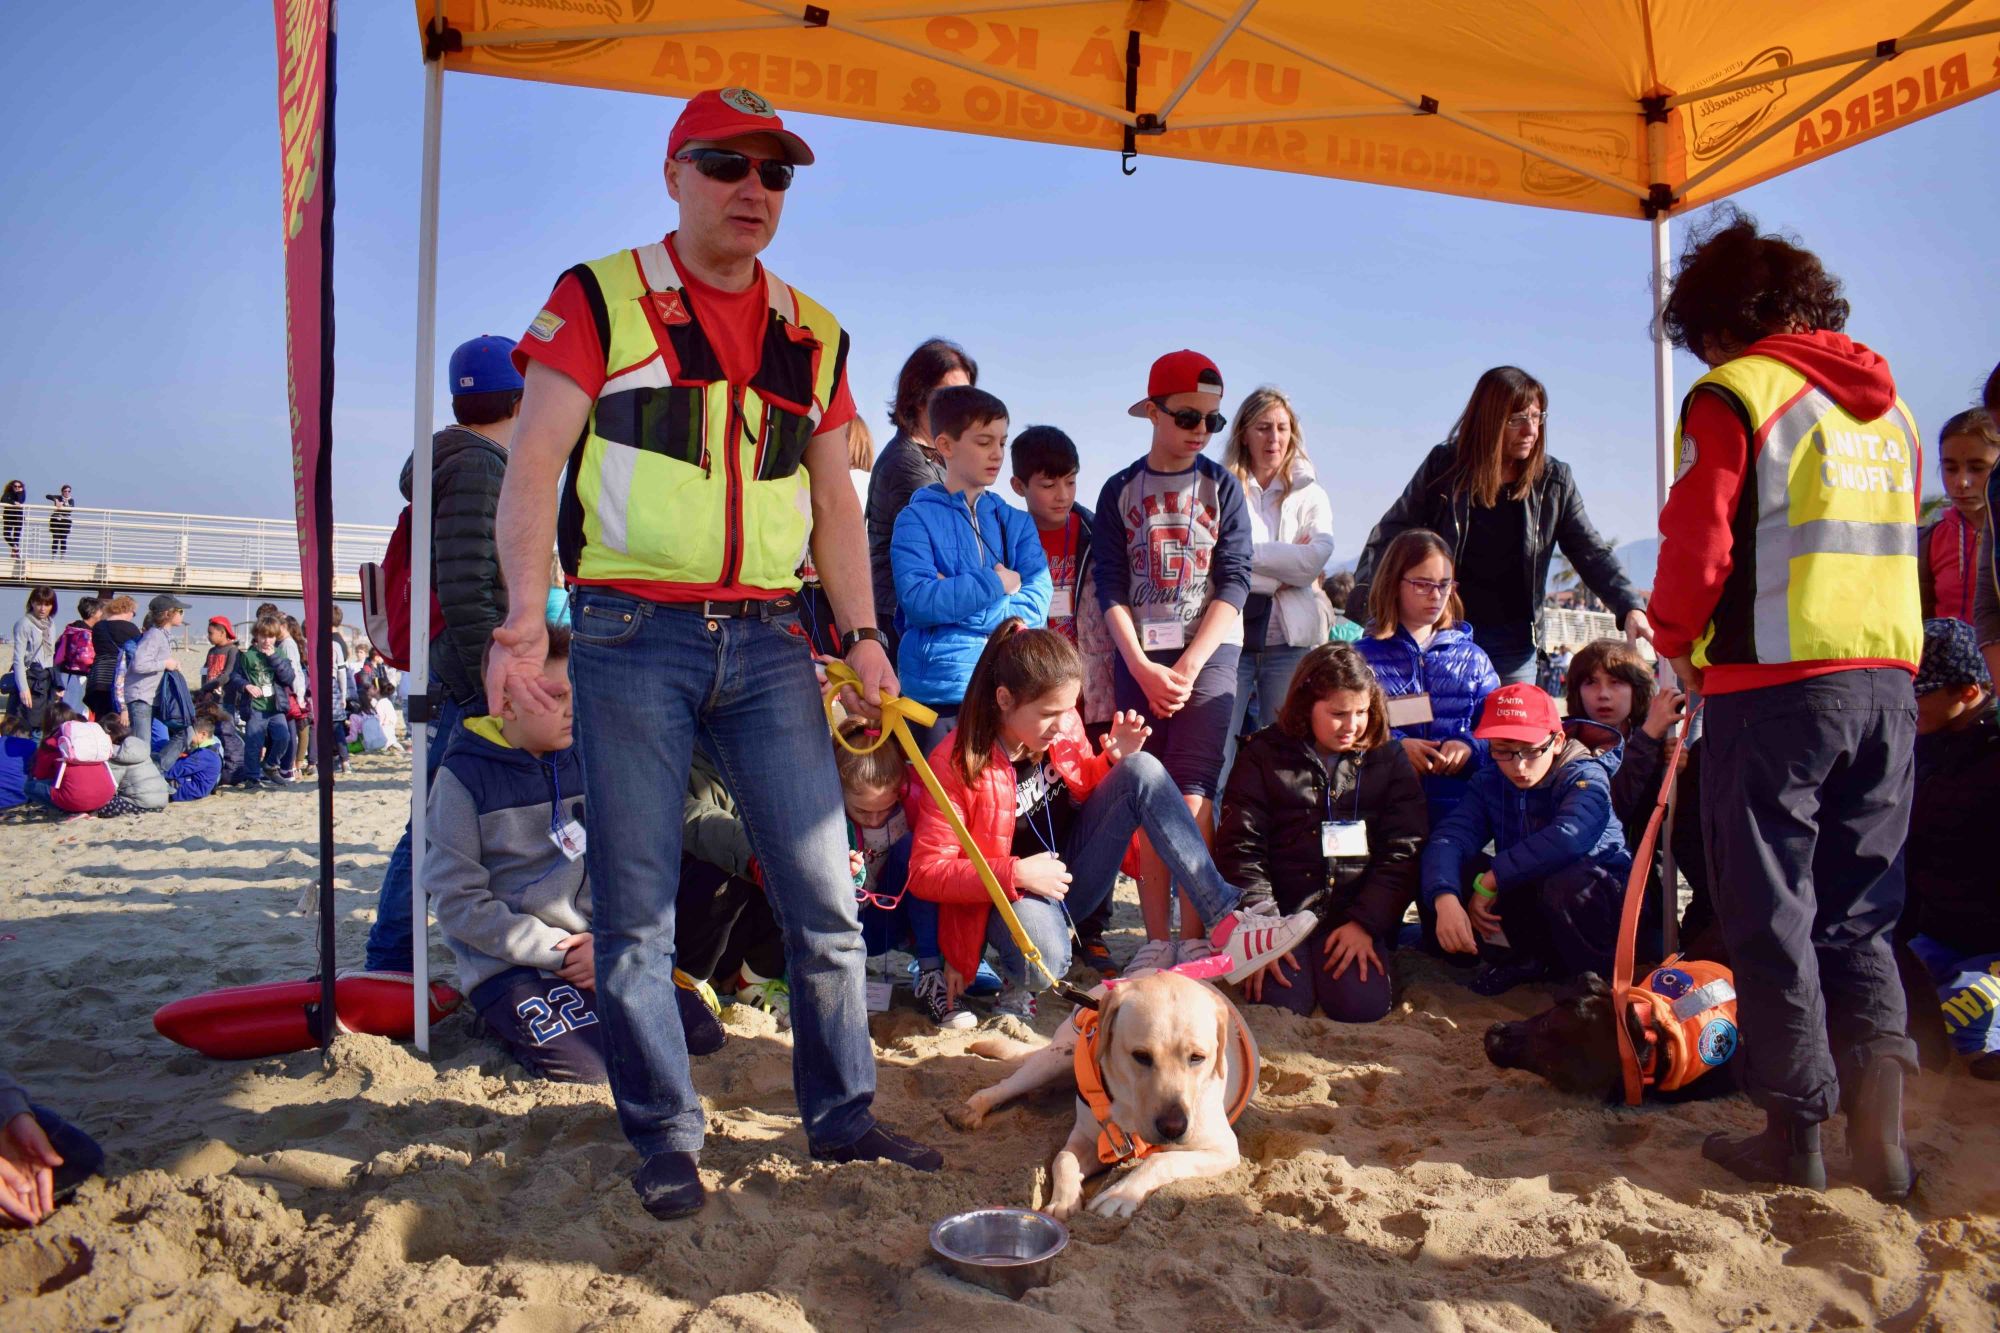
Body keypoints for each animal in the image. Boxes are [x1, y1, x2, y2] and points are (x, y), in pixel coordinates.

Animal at [952, 964, 1248, 1216]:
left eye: (1198, 1057)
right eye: (1141, 1056)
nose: (1173, 1128)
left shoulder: (1223, 1149)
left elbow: (1161, 1160)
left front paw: (1120, 1195)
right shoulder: (1088, 1137)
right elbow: (1063, 1158)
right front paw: (1064, 1200)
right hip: (1056, 1058)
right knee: (1004, 1085)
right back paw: (971, 1109)